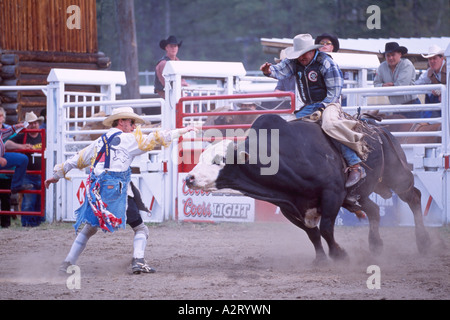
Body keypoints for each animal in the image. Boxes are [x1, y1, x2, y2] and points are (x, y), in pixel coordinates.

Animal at [185, 114, 430, 262]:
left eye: (218, 160)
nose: (189, 178)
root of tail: (381, 130)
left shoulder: (333, 195)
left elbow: (326, 229)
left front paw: (339, 254)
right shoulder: (289, 207)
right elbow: (312, 233)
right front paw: (321, 259)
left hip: (396, 177)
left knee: (414, 197)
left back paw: (423, 242)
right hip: (358, 195)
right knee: (374, 210)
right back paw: (376, 245)